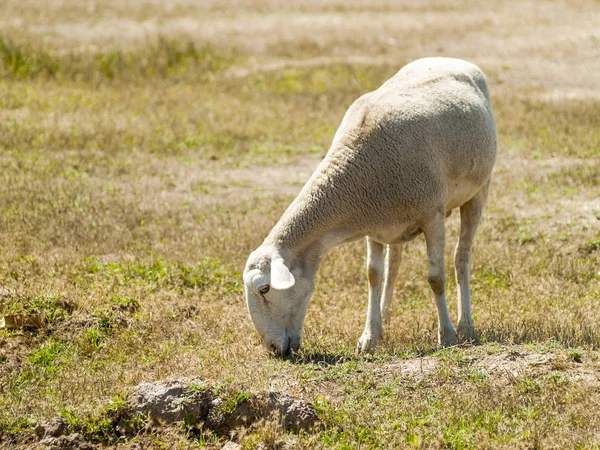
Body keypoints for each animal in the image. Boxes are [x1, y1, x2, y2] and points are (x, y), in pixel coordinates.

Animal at [243, 58, 496, 356]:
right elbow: (373, 275)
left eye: (264, 289)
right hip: (397, 223)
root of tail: (451, 60)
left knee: (462, 257)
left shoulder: (431, 215)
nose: (273, 349)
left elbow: (435, 277)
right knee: (395, 263)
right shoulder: (375, 225)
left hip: (479, 190)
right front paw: (369, 336)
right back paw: (386, 317)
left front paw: (446, 335)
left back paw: (466, 325)